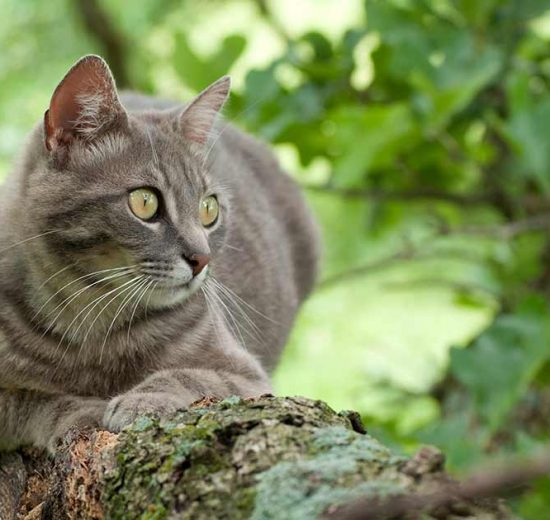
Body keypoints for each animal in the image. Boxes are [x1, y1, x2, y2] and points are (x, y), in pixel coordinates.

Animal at [0, 53, 320, 450]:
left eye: (208, 208)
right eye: (145, 202)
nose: (202, 259)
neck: (90, 320)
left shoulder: (245, 374)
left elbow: (187, 375)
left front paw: (143, 397)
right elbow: (30, 400)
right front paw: (80, 409)